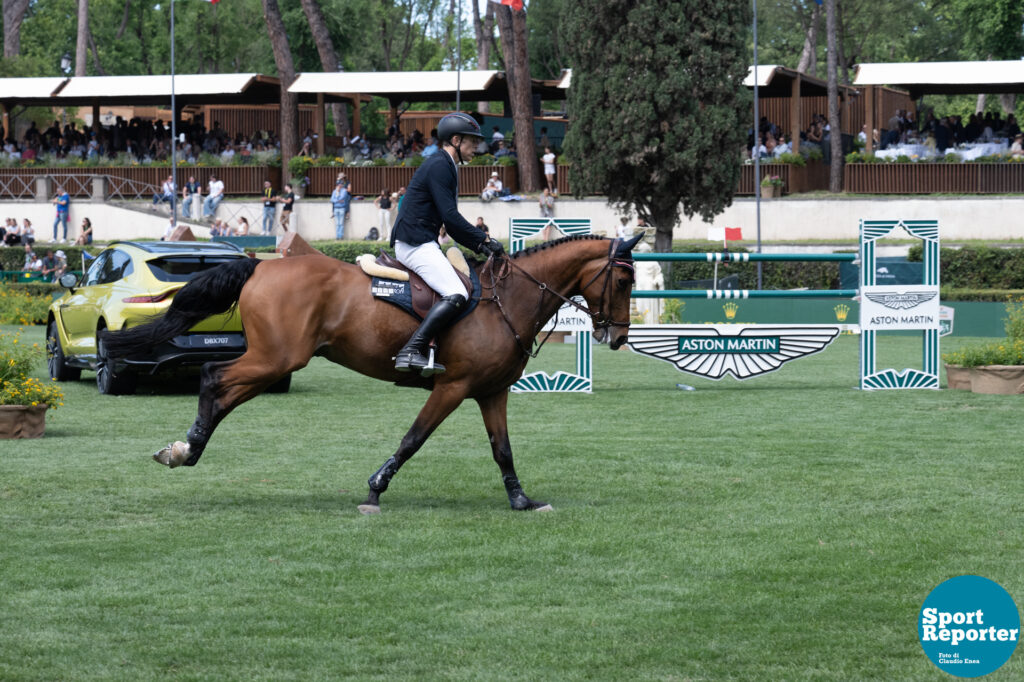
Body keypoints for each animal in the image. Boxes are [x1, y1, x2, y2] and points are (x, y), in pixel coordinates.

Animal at [97, 232, 638, 509]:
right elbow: (413, 438)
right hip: (277, 358)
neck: (508, 299)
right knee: (213, 376)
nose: (617, 337)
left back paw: (184, 449)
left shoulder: (492, 391)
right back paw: (186, 450)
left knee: (222, 388)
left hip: (274, 361)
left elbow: (502, 449)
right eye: (624, 279)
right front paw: (376, 488)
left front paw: (521, 500)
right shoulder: (452, 386)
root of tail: (261, 264)